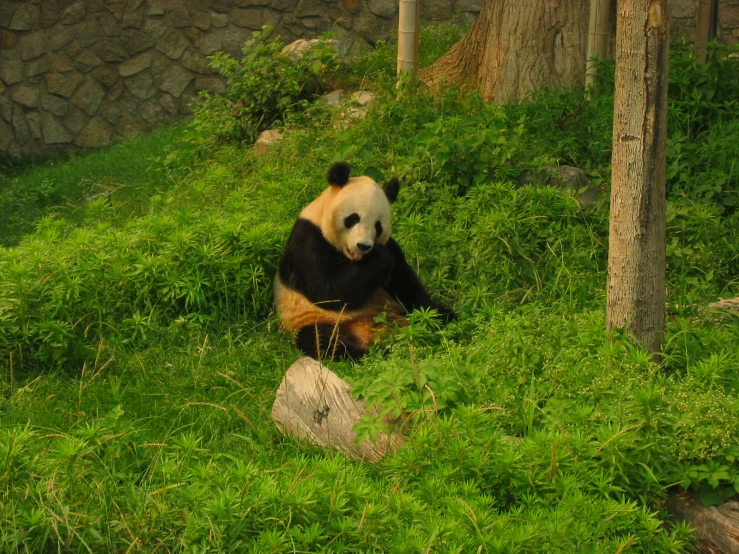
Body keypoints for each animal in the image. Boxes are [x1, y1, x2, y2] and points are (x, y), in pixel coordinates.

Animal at [274, 161, 454, 358]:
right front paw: (380, 257)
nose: (363, 245)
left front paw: (433, 317)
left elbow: (405, 284)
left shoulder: (391, 246)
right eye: (353, 218)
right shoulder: (309, 239)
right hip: (314, 318)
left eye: (378, 225)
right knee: (320, 338)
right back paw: (366, 351)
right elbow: (328, 290)